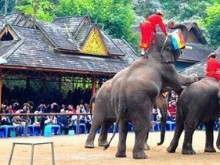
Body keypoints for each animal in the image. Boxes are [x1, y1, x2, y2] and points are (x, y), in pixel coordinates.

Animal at [108, 20, 198, 159]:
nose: (171, 23)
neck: (153, 49)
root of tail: (122, 92)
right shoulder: (166, 68)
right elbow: (177, 80)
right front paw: (195, 77)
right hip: (139, 103)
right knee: (142, 124)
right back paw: (142, 156)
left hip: (117, 103)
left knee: (123, 127)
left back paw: (121, 155)